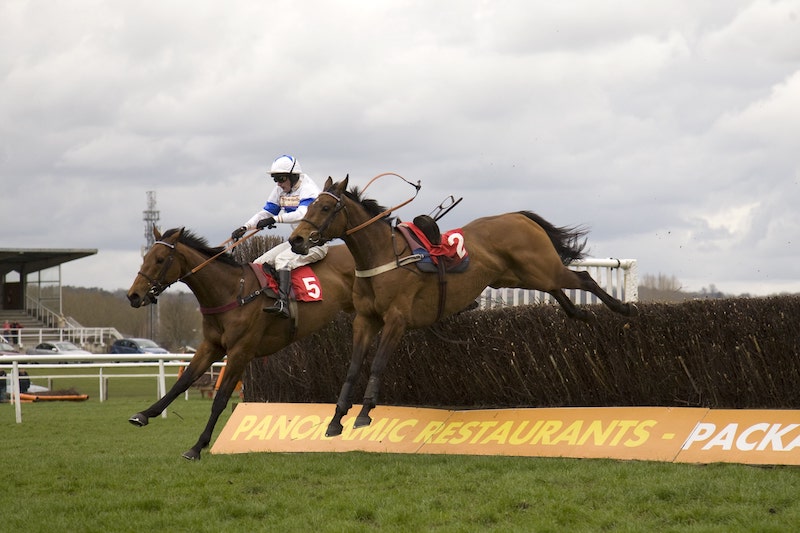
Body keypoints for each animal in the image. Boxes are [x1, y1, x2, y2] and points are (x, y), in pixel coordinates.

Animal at [126, 227, 354, 460]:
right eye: (145, 258)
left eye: (160, 260)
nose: (133, 295)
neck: (232, 292)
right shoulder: (211, 346)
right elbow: (182, 382)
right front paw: (144, 415)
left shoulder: (240, 352)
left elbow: (220, 399)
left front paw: (197, 446)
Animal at [290, 176, 636, 436]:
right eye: (309, 205)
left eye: (324, 207)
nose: (296, 240)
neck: (382, 256)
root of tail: (519, 216)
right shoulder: (365, 319)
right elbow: (351, 368)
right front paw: (336, 419)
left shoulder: (397, 320)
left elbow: (376, 364)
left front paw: (364, 413)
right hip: (518, 276)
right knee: (558, 289)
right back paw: (580, 312)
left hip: (541, 268)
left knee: (583, 278)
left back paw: (624, 309)